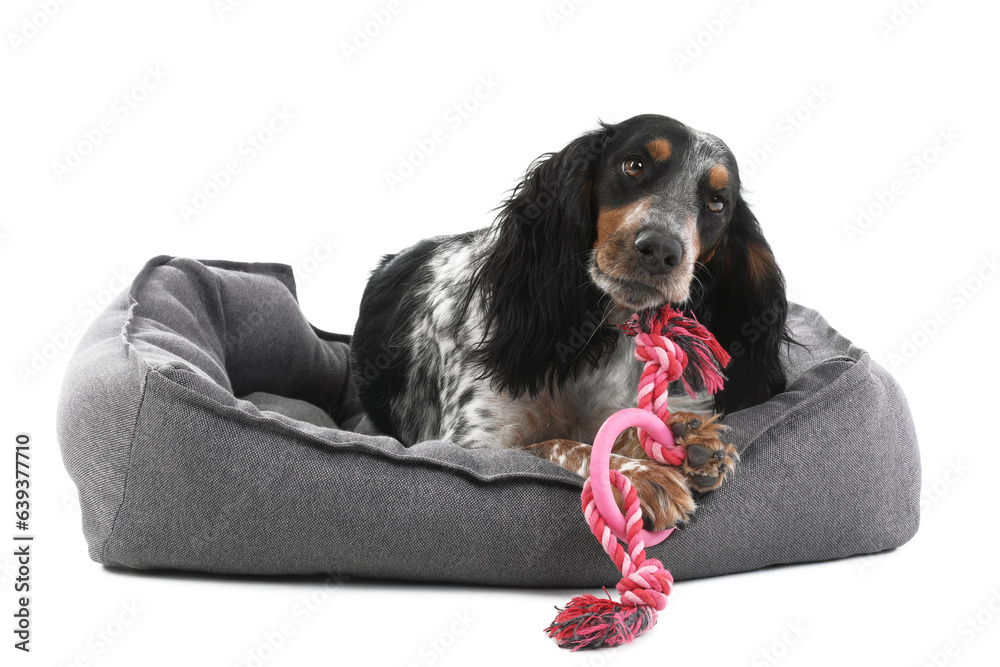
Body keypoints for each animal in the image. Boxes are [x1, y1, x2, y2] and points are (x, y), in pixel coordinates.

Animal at [352, 115, 788, 528]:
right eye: (634, 165)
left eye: (717, 203)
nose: (661, 249)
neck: (590, 339)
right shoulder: (471, 444)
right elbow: (554, 446)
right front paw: (640, 474)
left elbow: (622, 429)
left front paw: (687, 438)